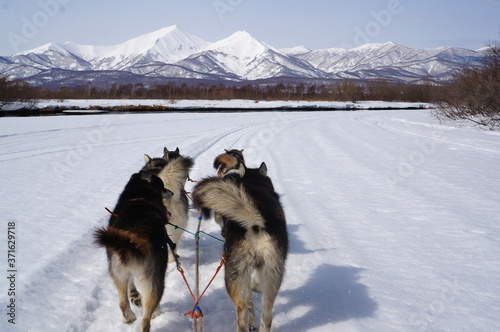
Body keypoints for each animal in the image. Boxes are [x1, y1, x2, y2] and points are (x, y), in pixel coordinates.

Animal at [94, 171, 175, 332]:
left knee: (122, 303)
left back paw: (129, 318)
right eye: (162, 186)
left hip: (117, 274)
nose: (172, 192)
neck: (139, 197)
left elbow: (130, 285)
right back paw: (153, 315)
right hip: (155, 280)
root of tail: (134, 241)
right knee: (146, 319)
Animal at [192, 150, 288, 332]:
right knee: (267, 315)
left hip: (234, 274)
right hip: (272, 272)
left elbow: (249, 300)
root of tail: (256, 224)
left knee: (241, 307)